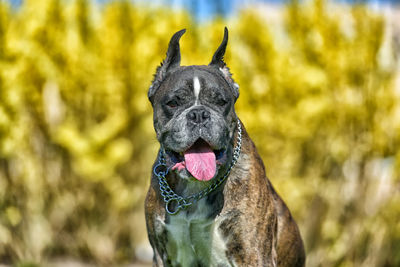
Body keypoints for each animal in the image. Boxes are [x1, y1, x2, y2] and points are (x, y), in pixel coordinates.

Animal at [145, 28, 304, 266]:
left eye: (221, 102)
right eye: (173, 103)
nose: (199, 114)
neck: (194, 190)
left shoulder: (253, 253)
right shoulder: (162, 255)